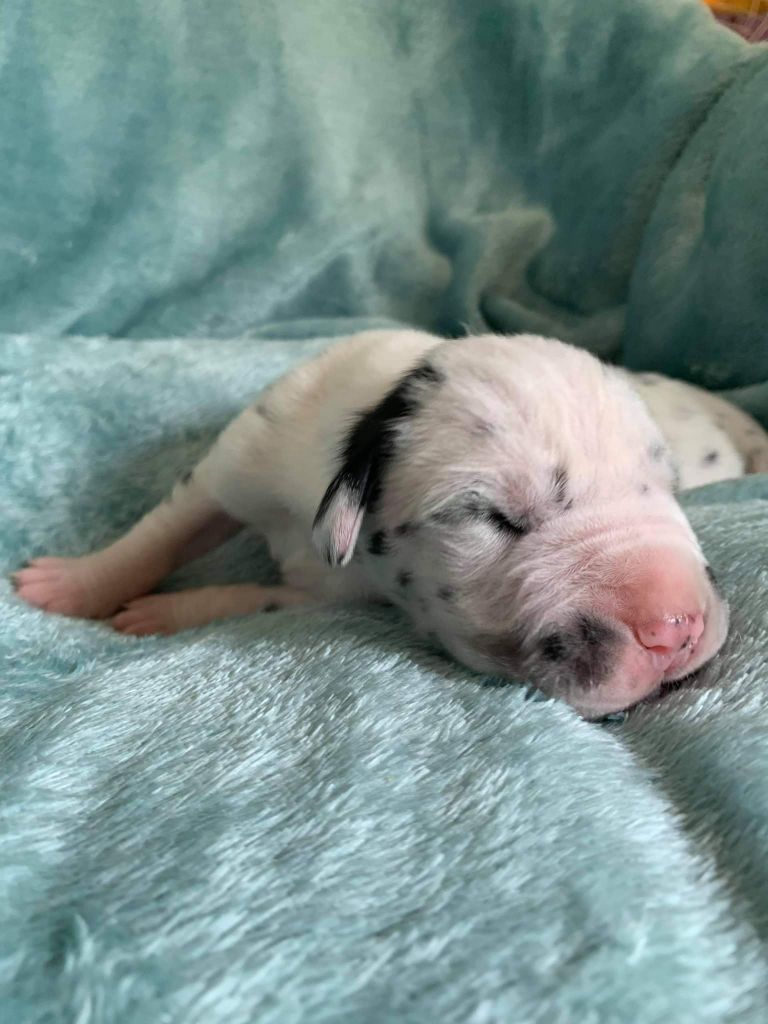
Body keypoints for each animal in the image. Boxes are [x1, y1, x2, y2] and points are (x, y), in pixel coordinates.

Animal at [13, 330, 768, 718]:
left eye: (671, 490)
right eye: (491, 516)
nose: (676, 629)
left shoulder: (333, 592)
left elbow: (256, 598)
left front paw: (160, 614)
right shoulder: (245, 454)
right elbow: (163, 529)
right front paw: (67, 588)